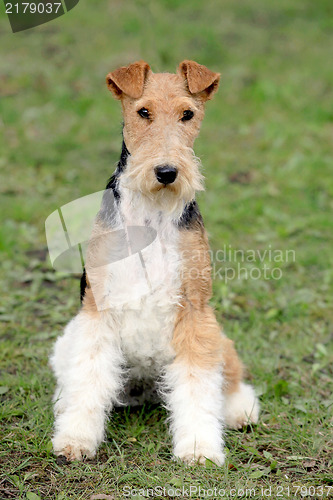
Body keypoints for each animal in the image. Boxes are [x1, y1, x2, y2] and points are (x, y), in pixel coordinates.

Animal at [50, 59, 258, 464]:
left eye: (188, 114)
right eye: (142, 112)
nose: (166, 172)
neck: (152, 211)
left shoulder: (195, 310)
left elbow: (197, 386)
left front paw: (199, 449)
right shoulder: (97, 310)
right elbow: (89, 377)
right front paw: (75, 440)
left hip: (219, 338)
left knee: (230, 378)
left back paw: (240, 410)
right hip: (68, 338)